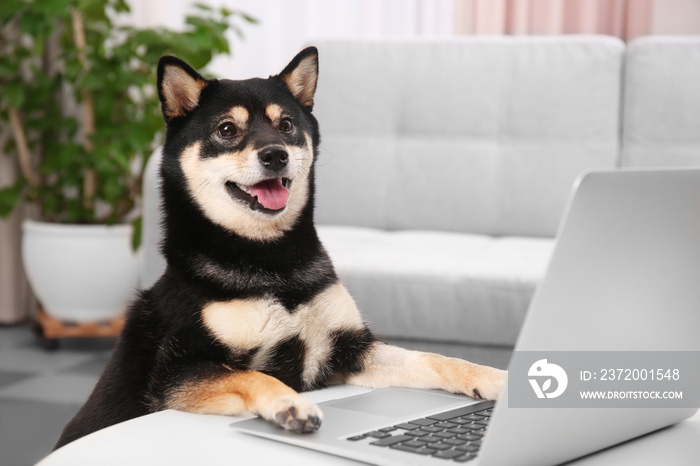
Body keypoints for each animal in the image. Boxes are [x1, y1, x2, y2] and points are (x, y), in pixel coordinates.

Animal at [53, 46, 504, 448]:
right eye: (227, 130)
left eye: (286, 124)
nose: (275, 154)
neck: (271, 261)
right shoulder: (174, 372)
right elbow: (252, 374)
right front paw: (290, 404)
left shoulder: (347, 349)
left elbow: (435, 359)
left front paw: (494, 378)